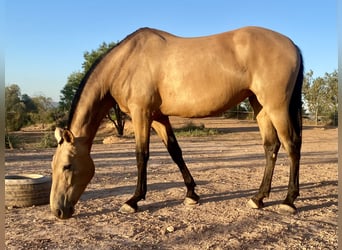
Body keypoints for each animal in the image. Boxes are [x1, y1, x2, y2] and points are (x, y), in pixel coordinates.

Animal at [48, 26, 302, 219]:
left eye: (67, 166)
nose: (58, 211)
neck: (126, 62)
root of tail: (292, 45)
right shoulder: (159, 117)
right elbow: (175, 152)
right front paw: (191, 194)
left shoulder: (141, 114)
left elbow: (141, 155)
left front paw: (133, 200)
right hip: (259, 105)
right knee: (271, 146)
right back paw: (258, 198)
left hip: (276, 106)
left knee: (291, 145)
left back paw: (288, 200)